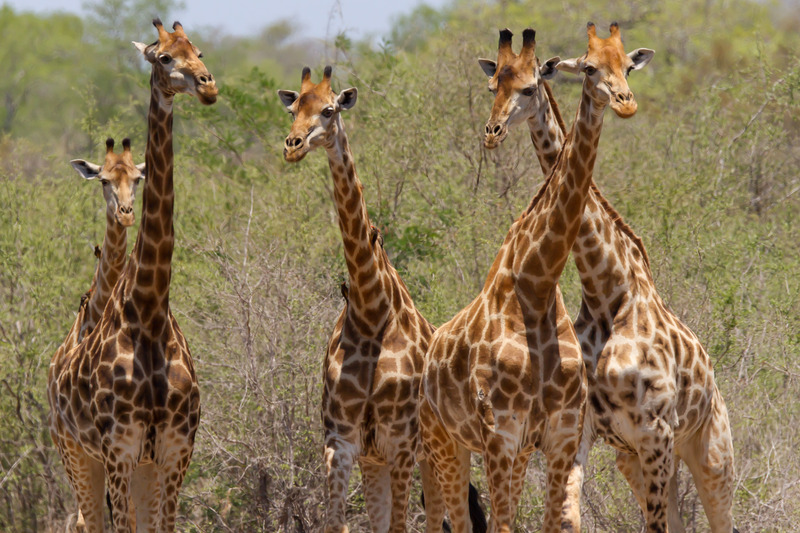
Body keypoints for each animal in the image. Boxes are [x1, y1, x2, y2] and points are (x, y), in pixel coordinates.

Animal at [47, 19, 217, 532]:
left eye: (199, 51)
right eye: (164, 57)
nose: (208, 86)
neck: (149, 310)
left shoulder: (174, 452)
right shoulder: (119, 450)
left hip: (137, 466)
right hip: (77, 453)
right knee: (86, 521)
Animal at [278, 66, 485, 533]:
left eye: (329, 109)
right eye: (292, 108)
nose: (293, 146)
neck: (372, 309)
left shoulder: (400, 442)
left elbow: (400, 526)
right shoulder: (343, 440)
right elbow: (337, 523)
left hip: (436, 453)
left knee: (448, 519)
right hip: (382, 462)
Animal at [420, 23, 654, 533]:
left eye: (530, 88)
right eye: (493, 86)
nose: (625, 102)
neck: (537, 285)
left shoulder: (559, 434)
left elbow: (555, 521)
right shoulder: (501, 432)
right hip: (445, 441)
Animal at [478, 25, 736, 533]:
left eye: (628, 66)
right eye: (589, 67)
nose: (625, 102)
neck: (605, 291)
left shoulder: (655, 429)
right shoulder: (585, 430)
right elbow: (566, 518)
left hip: (710, 454)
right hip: (635, 459)